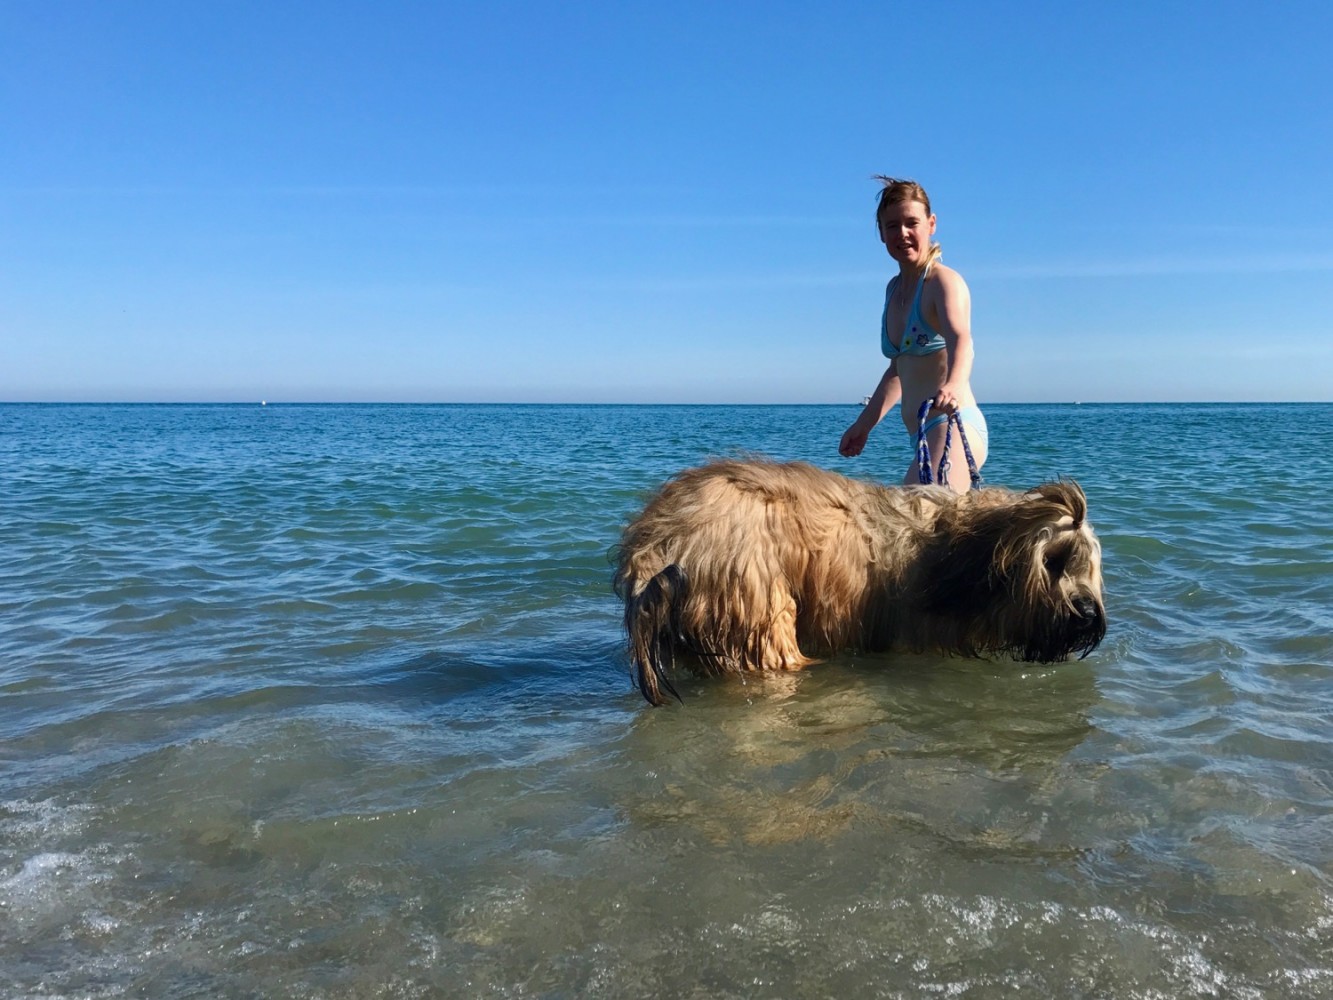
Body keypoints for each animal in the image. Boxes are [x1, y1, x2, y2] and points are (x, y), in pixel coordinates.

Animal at [613, 459, 1105, 706]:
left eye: (1087, 566)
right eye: (1054, 561)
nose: (1086, 613)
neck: (964, 550)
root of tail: (659, 535)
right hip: (755, 595)